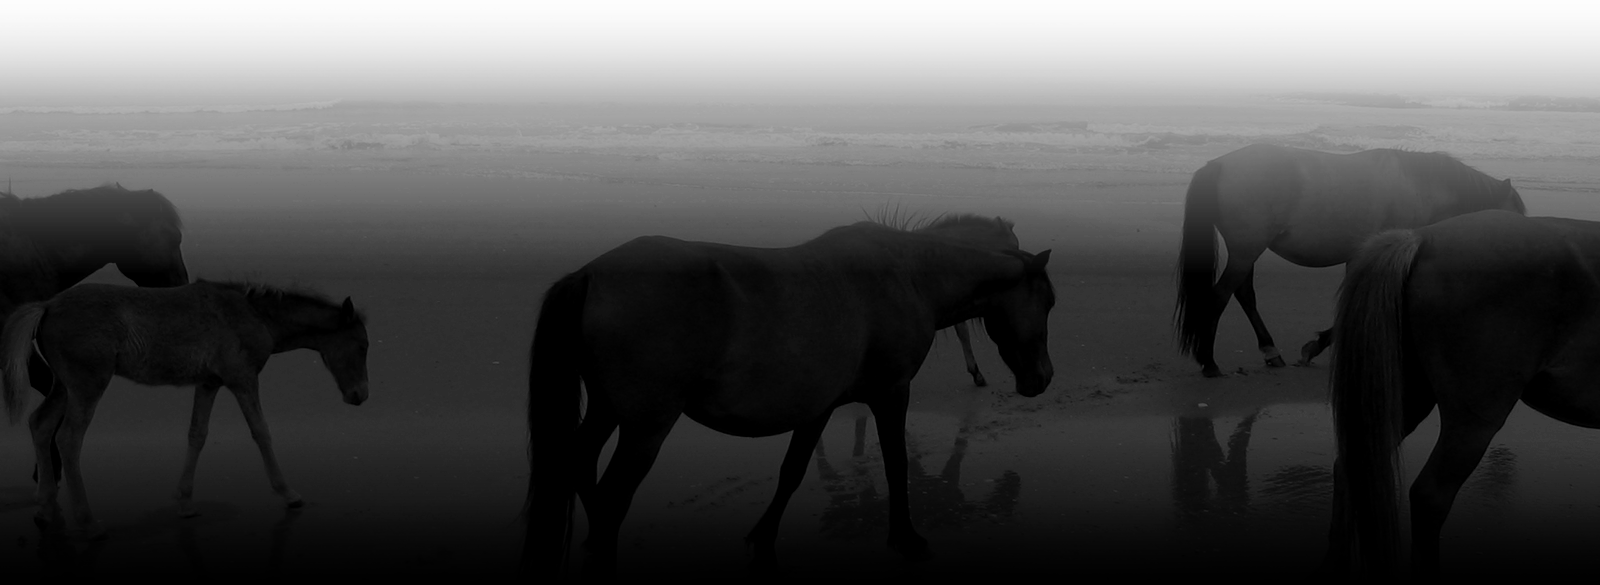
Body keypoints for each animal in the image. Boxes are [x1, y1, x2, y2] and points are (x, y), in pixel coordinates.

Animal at [0, 280, 369, 540]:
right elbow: (261, 432)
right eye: (362, 345)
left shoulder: (209, 382)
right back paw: (89, 523)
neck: (254, 315)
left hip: (63, 386)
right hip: (87, 384)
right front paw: (288, 493)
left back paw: (45, 510)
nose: (361, 395)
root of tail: (47, 304)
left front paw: (185, 502)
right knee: (68, 439)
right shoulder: (242, 378)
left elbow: (197, 434)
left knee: (40, 424)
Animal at [522, 214, 1055, 576]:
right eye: (1049, 301)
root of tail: (591, 275)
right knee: (612, 499)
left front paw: (762, 540)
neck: (905, 276)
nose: (1043, 377)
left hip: (607, 410)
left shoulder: (819, 406)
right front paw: (906, 538)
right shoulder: (891, 392)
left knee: (578, 465)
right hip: (645, 427)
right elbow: (896, 464)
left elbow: (792, 473)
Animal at [1172, 145, 1526, 377]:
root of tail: (1220, 164)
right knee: (1220, 295)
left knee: (1243, 294)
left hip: (1246, 252)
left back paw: (1270, 352)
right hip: (1246, 250)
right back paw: (1209, 362)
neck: (1418, 189)